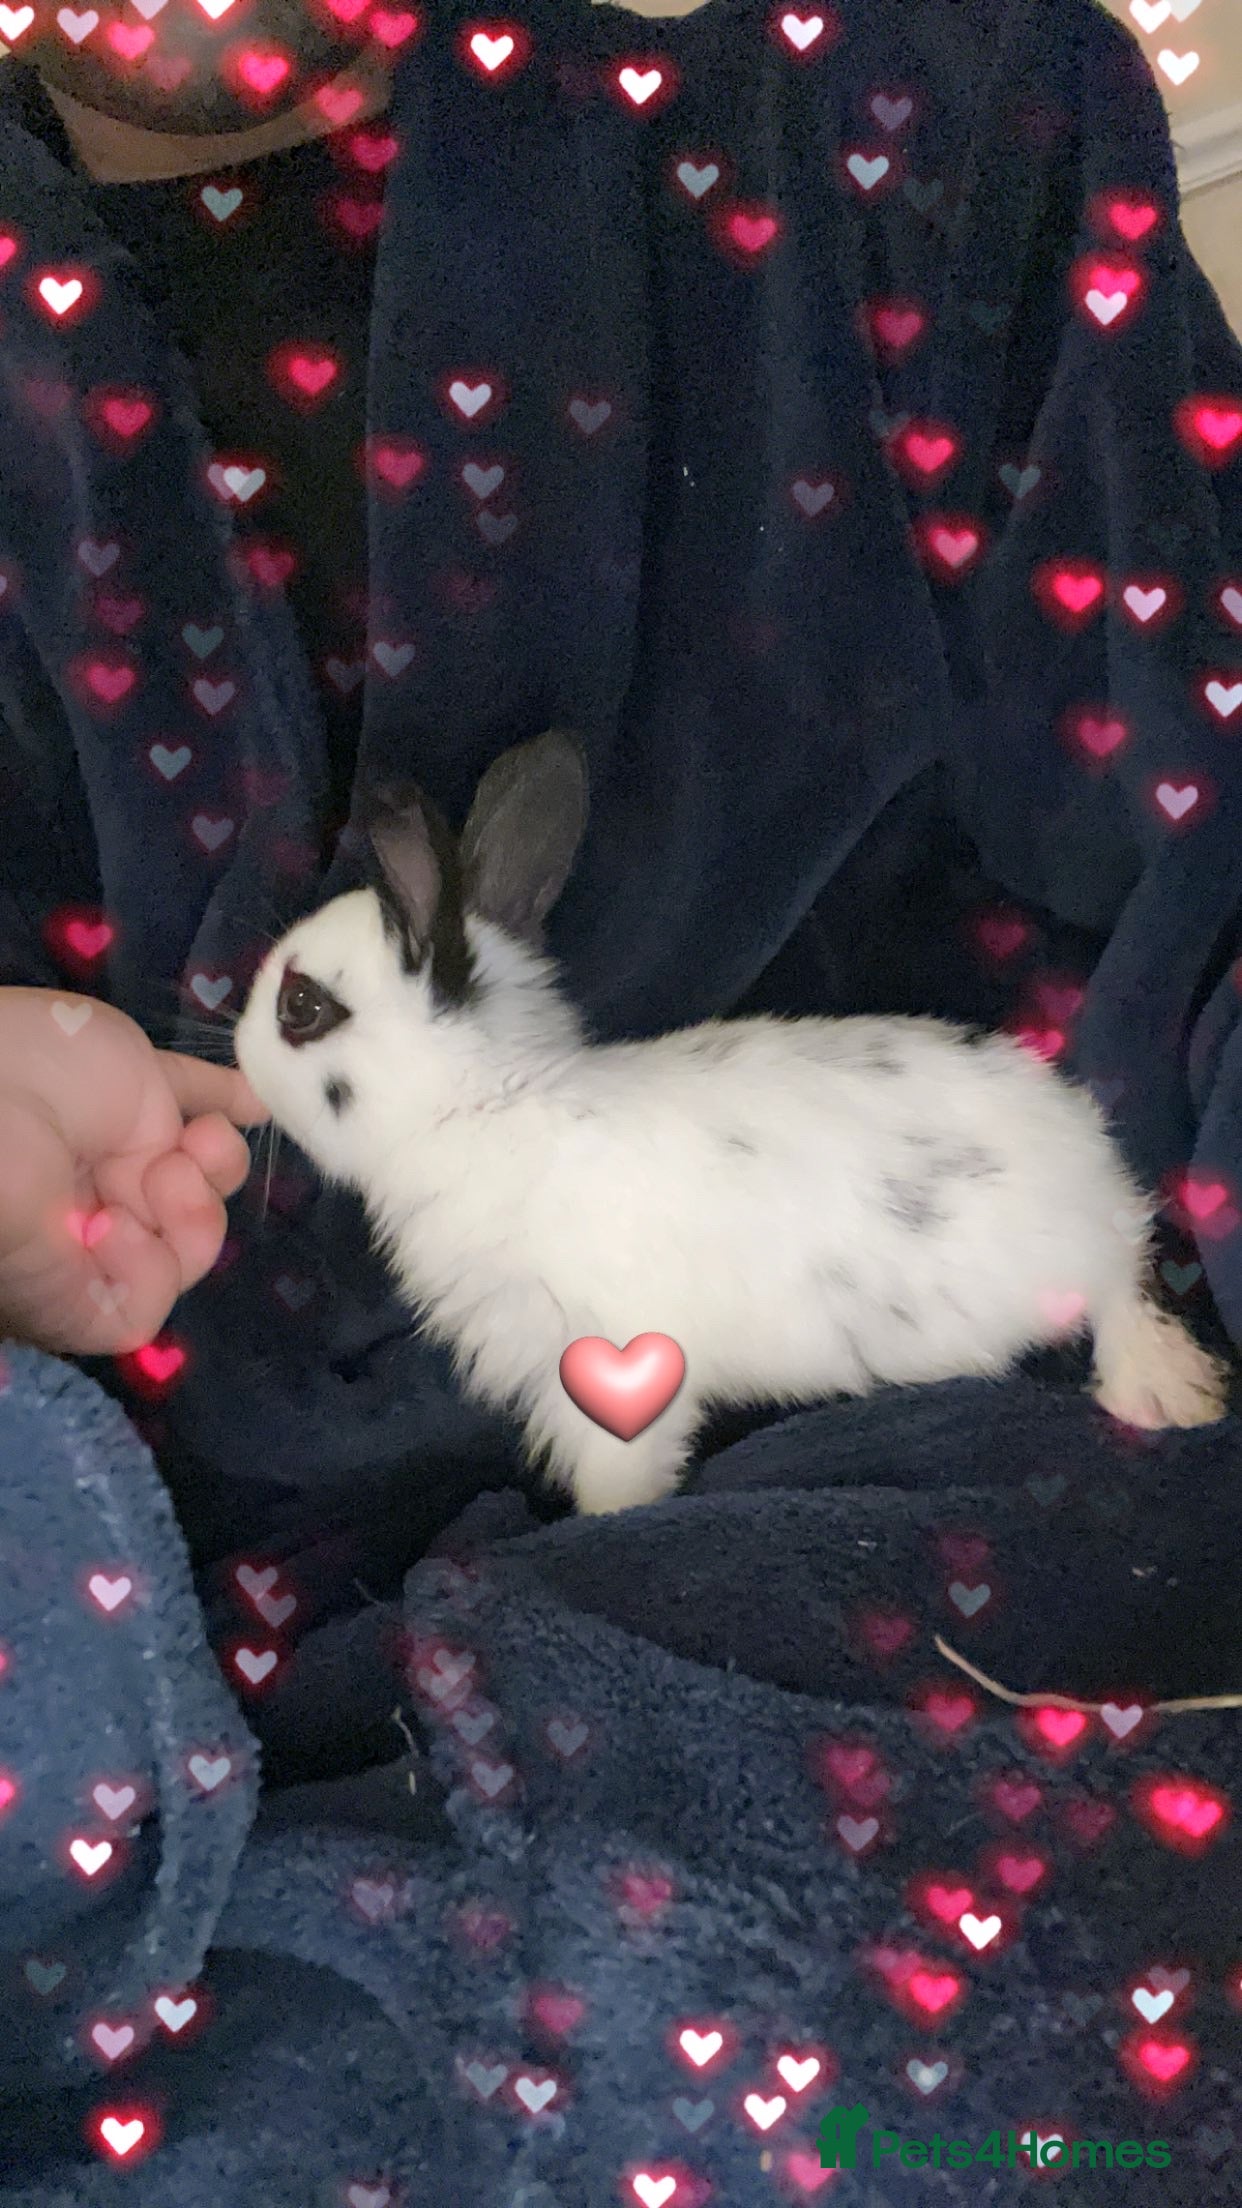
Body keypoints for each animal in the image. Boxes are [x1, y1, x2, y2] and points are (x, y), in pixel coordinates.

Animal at [233, 727, 1231, 1515]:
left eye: (303, 1008)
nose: (237, 1052)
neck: (489, 1103)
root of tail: (1102, 1192)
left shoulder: (609, 1360)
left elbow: (621, 1471)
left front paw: (602, 1523)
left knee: (1117, 1303)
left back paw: (1163, 1396)